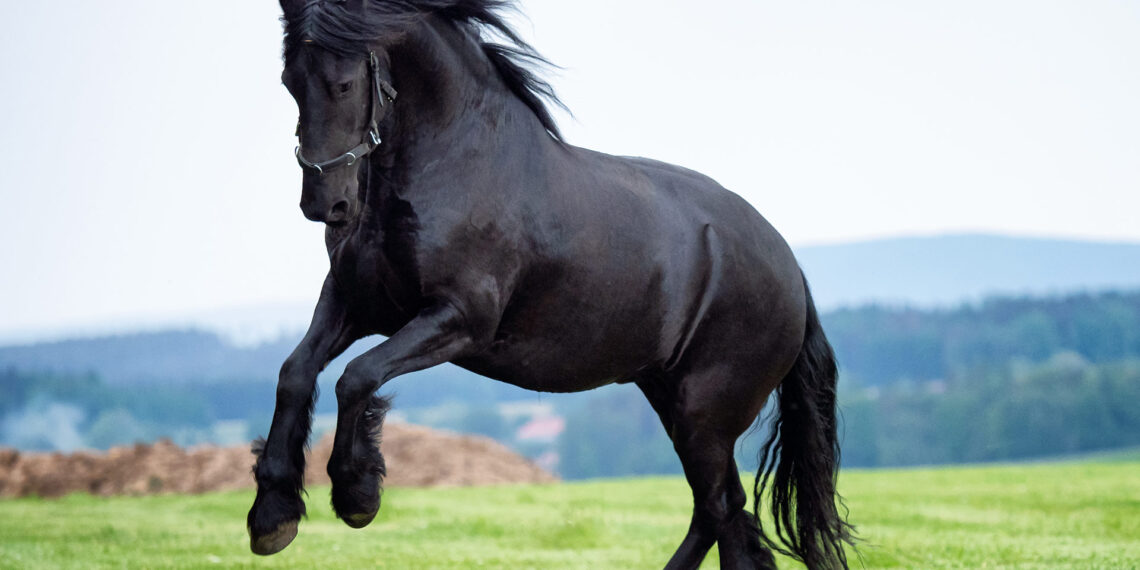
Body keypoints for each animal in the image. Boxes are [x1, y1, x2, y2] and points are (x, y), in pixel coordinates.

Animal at [247, 1, 856, 568]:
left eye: (344, 83)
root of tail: (790, 269)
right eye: (289, 82)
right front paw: (272, 517)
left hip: (705, 414)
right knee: (720, 513)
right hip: (671, 398)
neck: (456, 164)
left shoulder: (458, 319)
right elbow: (295, 373)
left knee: (723, 511)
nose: (326, 206)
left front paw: (357, 494)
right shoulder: (354, 304)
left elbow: (357, 377)